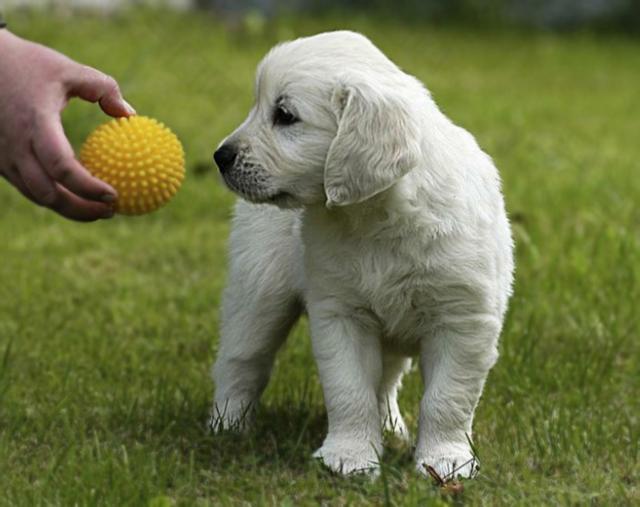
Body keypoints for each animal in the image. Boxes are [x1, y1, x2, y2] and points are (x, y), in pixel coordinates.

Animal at [210, 31, 516, 480]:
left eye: (284, 115)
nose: (220, 157)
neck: (376, 217)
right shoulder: (341, 313)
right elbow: (349, 389)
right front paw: (349, 457)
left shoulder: (463, 319)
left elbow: (447, 398)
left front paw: (445, 460)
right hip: (259, 290)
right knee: (242, 361)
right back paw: (226, 425)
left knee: (385, 381)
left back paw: (390, 429)